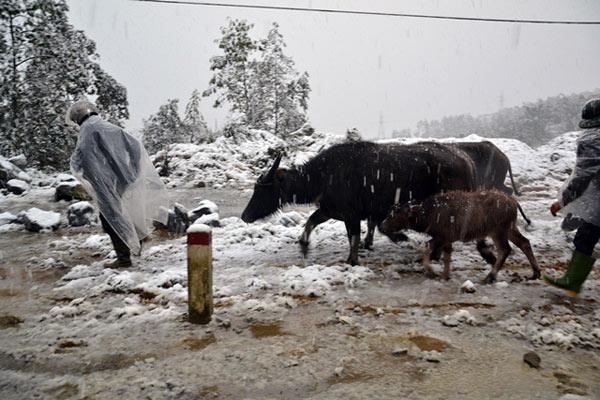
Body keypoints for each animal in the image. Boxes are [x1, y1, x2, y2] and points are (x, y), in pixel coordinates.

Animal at [241, 141, 476, 266]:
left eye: (262, 189)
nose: (245, 216)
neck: (323, 176)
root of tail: (465, 159)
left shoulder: (351, 215)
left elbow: (353, 237)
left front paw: (352, 260)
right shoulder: (330, 210)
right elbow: (310, 222)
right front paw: (304, 246)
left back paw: (433, 255)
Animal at [382, 190, 540, 282]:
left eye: (396, 214)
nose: (383, 226)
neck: (429, 215)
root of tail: (513, 201)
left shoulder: (442, 237)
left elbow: (427, 249)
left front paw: (431, 272)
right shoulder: (446, 239)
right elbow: (447, 255)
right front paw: (446, 275)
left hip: (498, 231)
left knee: (505, 249)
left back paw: (490, 276)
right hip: (510, 228)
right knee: (524, 242)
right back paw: (536, 273)